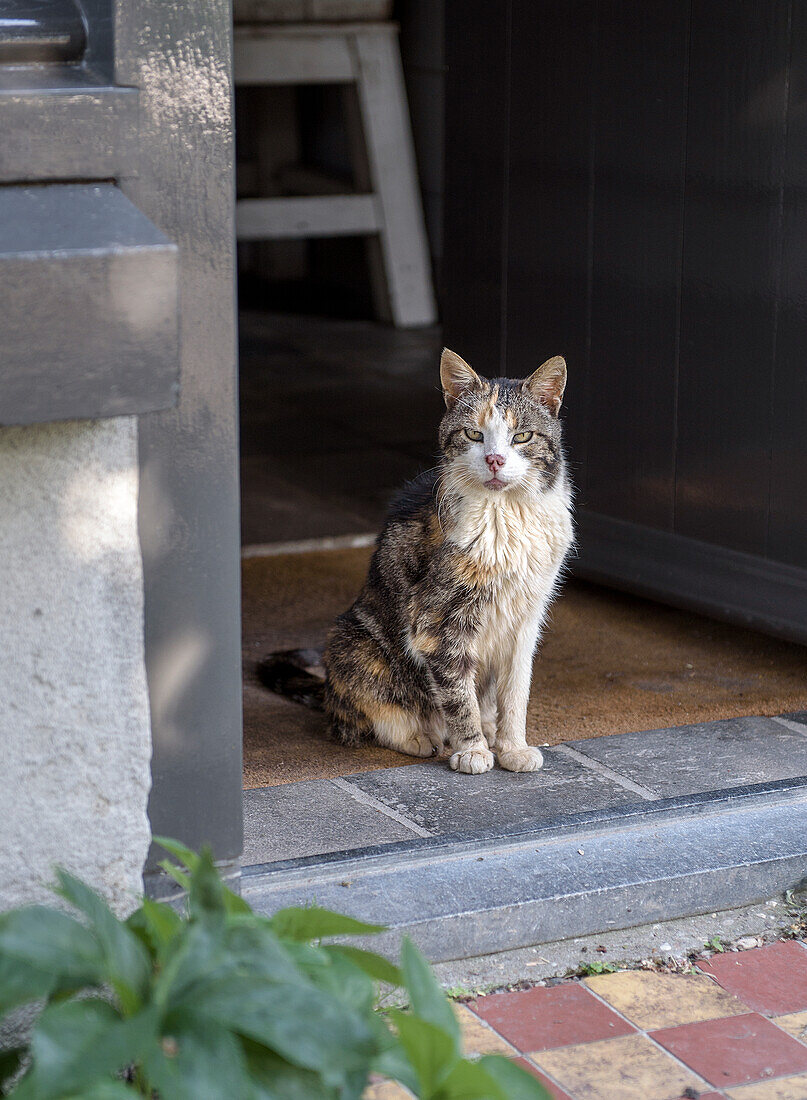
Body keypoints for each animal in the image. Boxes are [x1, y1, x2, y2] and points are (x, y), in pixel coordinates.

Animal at [259, 345, 576, 774]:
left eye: (522, 436)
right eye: (473, 434)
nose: (494, 459)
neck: (507, 515)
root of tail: (328, 691)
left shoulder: (526, 619)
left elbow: (516, 692)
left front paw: (512, 747)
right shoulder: (438, 622)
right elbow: (458, 694)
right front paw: (472, 750)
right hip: (351, 641)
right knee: (362, 719)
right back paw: (423, 737)